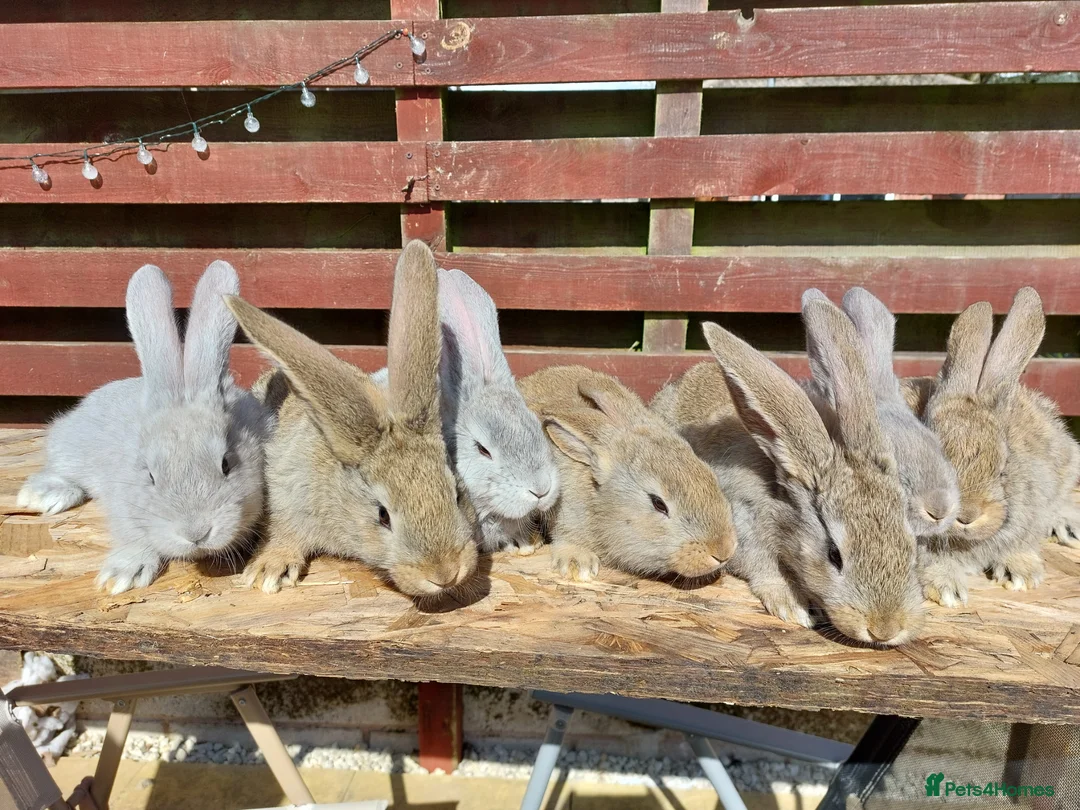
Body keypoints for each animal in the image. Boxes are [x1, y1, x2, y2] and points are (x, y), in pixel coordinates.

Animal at [17, 261, 271, 595]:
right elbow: (131, 533)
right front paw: (122, 575)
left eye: (227, 464)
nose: (196, 533)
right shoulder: (123, 504)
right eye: (150, 475)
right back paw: (42, 495)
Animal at [652, 296, 925, 646]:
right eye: (834, 555)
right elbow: (765, 570)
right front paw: (794, 606)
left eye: (911, 545)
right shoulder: (742, 529)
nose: (885, 629)